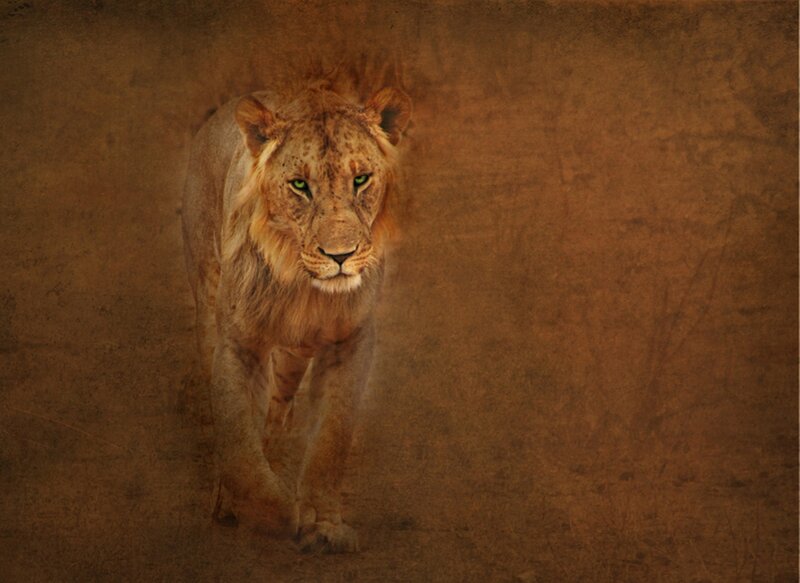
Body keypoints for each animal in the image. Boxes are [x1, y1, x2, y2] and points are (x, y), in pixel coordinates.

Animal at [181, 74, 411, 553]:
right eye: (299, 186)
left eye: (361, 179)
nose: (340, 256)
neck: (304, 287)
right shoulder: (237, 344)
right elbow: (238, 441)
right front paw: (270, 513)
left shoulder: (351, 342)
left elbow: (330, 439)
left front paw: (323, 525)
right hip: (206, 299)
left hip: (295, 354)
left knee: (279, 406)